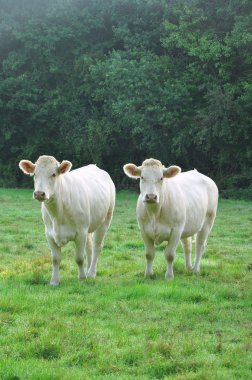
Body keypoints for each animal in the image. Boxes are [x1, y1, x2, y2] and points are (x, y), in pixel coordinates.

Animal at [18, 155, 115, 284]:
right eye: (34, 174)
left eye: (53, 174)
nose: (39, 193)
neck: (58, 214)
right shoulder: (49, 234)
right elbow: (55, 259)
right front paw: (54, 281)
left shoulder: (80, 232)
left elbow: (79, 258)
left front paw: (81, 278)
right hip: (88, 226)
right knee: (89, 248)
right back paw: (88, 270)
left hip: (105, 219)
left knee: (97, 247)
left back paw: (91, 273)